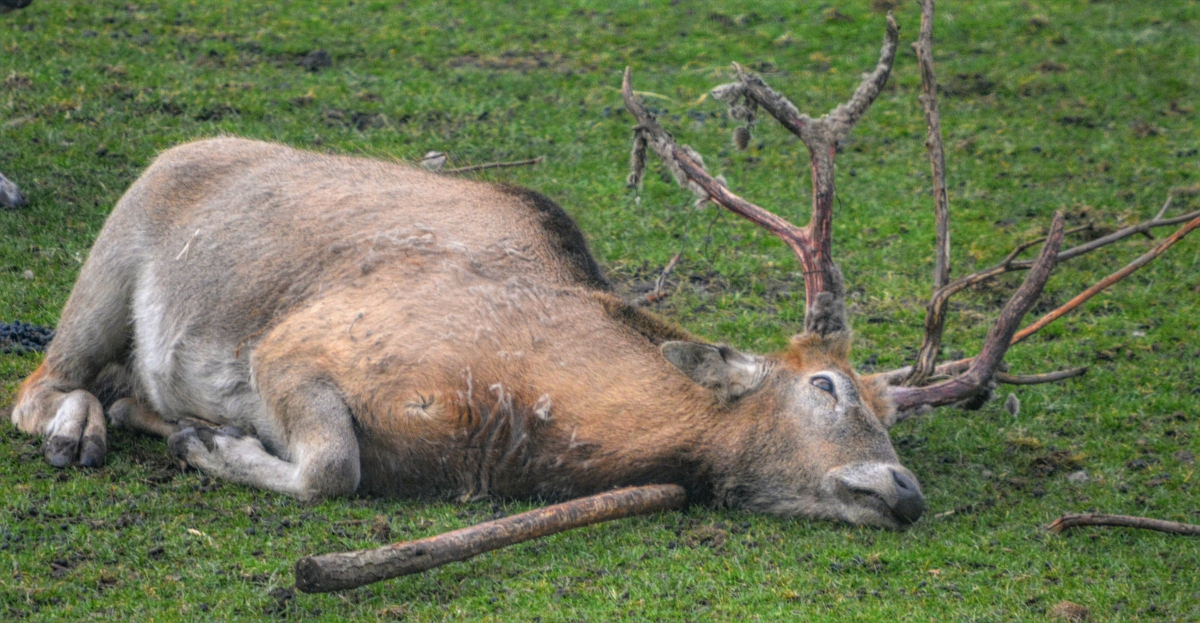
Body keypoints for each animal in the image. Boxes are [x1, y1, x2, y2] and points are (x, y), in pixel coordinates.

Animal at [11, 8, 1200, 542]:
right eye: (828, 385)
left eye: (898, 411)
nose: (903, 490)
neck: (507, 410)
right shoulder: (297, 345)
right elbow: (335, 467)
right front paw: (208, 441)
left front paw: (194, 434)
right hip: (114, 248)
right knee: (33, 386)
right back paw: (83, 425)